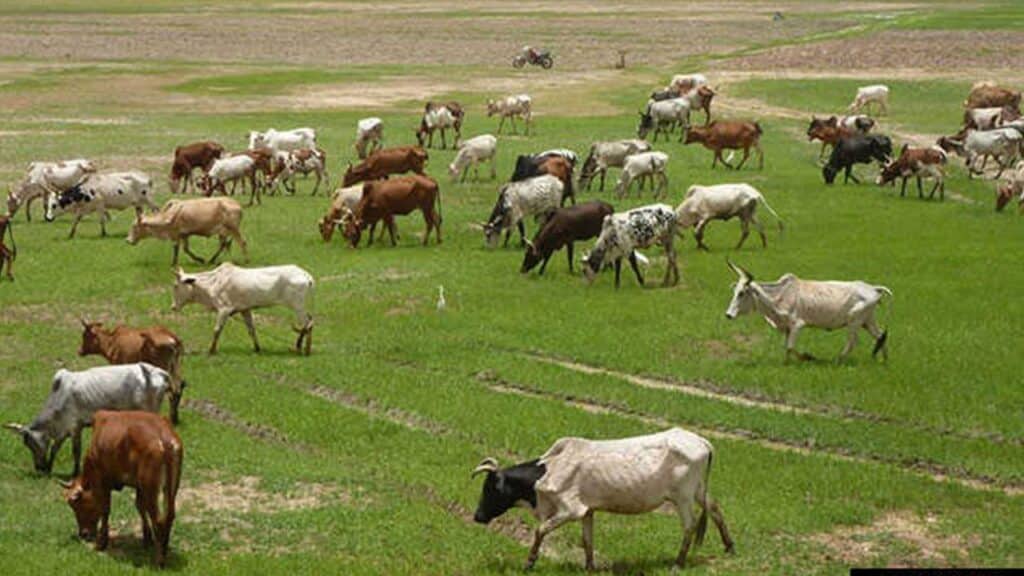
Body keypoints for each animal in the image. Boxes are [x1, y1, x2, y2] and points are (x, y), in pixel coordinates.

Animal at [4, 363, 172, 475]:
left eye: (30, 444)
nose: (39, 468)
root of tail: (158, 371)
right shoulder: (65, 429)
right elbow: (55, 448)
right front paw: (49, 468)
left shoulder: (75, 426)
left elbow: (76, 450)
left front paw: (75, 473)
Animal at [62, 410, 182, 567]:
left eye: (76, 504)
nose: (83, 534)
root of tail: (164, 438)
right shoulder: (139, 486)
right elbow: (140, 506)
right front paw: (147, 539)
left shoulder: (101, 481)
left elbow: (104, 509)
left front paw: (101, 543)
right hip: (169, 488)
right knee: (169, 515)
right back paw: (164, 548)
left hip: (151, 488)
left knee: (158, 519)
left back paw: (159, 560)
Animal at [172, 263, 315, 355]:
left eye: (175, 286)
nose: (173, 307)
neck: (213, 283)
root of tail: (306, 275)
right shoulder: (245, 310)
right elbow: (251, 330)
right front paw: (257, 349)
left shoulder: (224, 310)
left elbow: (217, 330)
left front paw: (211, 350)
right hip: (299, 306)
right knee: (309, 321)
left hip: (297, 305)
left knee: (307, 323)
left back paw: (304, 349)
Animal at [471, 428, 733, 571]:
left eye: (489, 488)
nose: (477, 516)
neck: (547, 472)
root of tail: (702, 441)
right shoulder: (588, 511)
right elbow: (587, 541)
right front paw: (589, 567)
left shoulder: (571, 510)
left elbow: (540, 530)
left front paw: (529, 562)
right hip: (698, 491)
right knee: (715, 508)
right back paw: (730, 547)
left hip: (683, 496)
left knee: (689, 525)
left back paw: (678, 563)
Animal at [725, 261, 891, 362]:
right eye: (735, 291)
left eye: (742, 293)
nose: (728, 314)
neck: (780, 296)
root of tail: (873, 288)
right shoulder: (788, 328)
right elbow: (787, 347)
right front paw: (791, 361)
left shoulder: (797, 325)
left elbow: (790, 347)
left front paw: (805, 358)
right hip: (867, 320)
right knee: (880, 336)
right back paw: (883, 360)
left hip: (854, 322)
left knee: (852, 342)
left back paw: (838, 360)